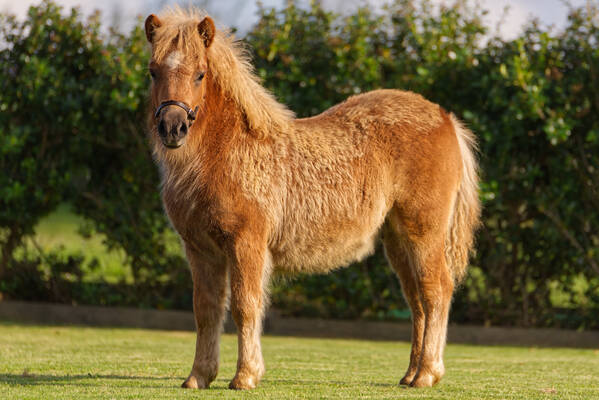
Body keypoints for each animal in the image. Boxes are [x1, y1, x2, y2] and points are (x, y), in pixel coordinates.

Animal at [143, 7, 480, 390]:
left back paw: (427, 373)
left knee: (436, 291)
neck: (226, 152)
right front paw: (199, 376)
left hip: (424, 232)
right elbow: (206, 310)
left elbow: (246, 305)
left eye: (200, 74)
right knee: (417, 300)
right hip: (398, 240)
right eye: (153, 72)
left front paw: (245, 376)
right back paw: (410, 374)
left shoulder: (246, 243)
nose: (173, 127)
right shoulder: (200, 250)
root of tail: (446, 118)